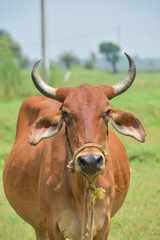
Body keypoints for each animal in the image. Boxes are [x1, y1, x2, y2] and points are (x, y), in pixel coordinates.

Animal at [3, 53, 146, 240]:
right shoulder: (52, 224)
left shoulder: (104, 224)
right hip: (39, 226)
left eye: (107, 112)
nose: (91, 160)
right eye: (65, 113)